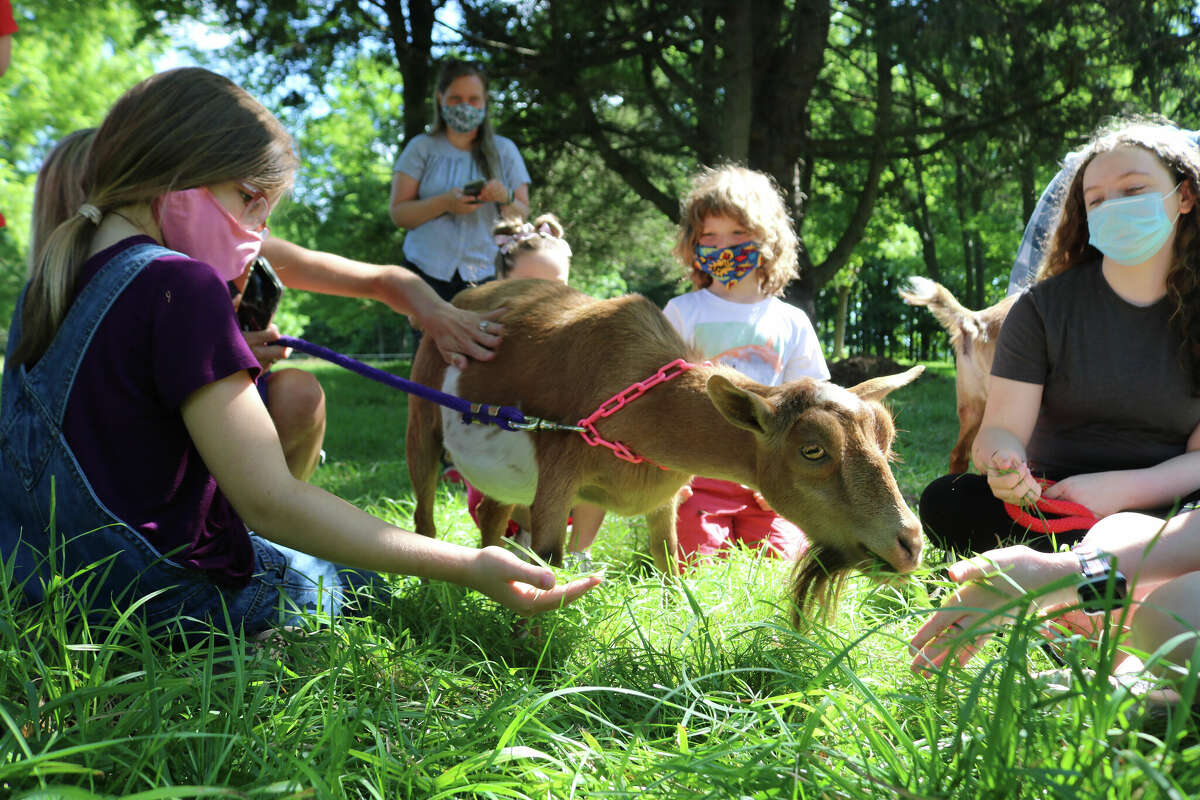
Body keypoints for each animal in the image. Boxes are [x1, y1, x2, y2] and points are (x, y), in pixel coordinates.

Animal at [407, 279, 925, 622]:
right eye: (813, 450)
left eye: (887, 439)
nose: (910, 544)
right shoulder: (558, 472)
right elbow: (550, 561)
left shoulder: (665, 493)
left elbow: (669, 562)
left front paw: (678, 622)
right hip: (422, 417)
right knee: (424, 514)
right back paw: (432, 591)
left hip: (507, 478)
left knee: (492, 515)